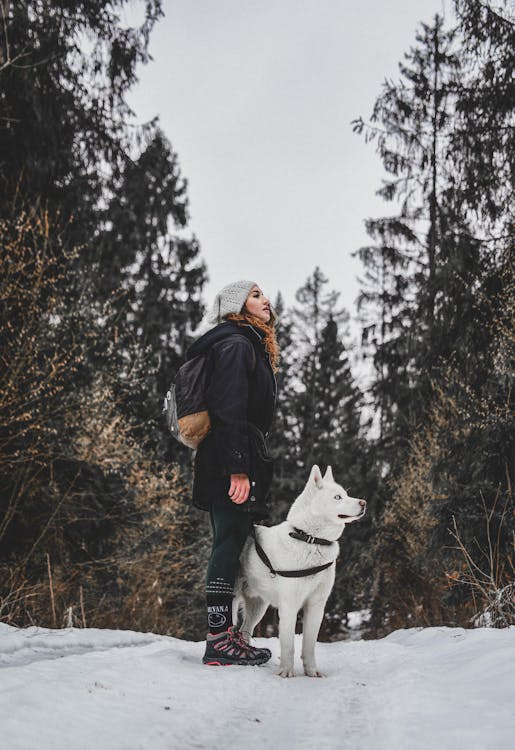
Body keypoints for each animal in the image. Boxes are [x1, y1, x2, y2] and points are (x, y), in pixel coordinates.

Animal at [234, 468, 366, 680]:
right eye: (337, 497)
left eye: (345, 495)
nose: (364, 503)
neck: (310, 539)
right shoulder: (289, 606)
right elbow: (288, 644)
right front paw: (286, 671)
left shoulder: (316, 605)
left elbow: (309, 645)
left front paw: (312, 671)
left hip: (258, 607)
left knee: (245, 630)